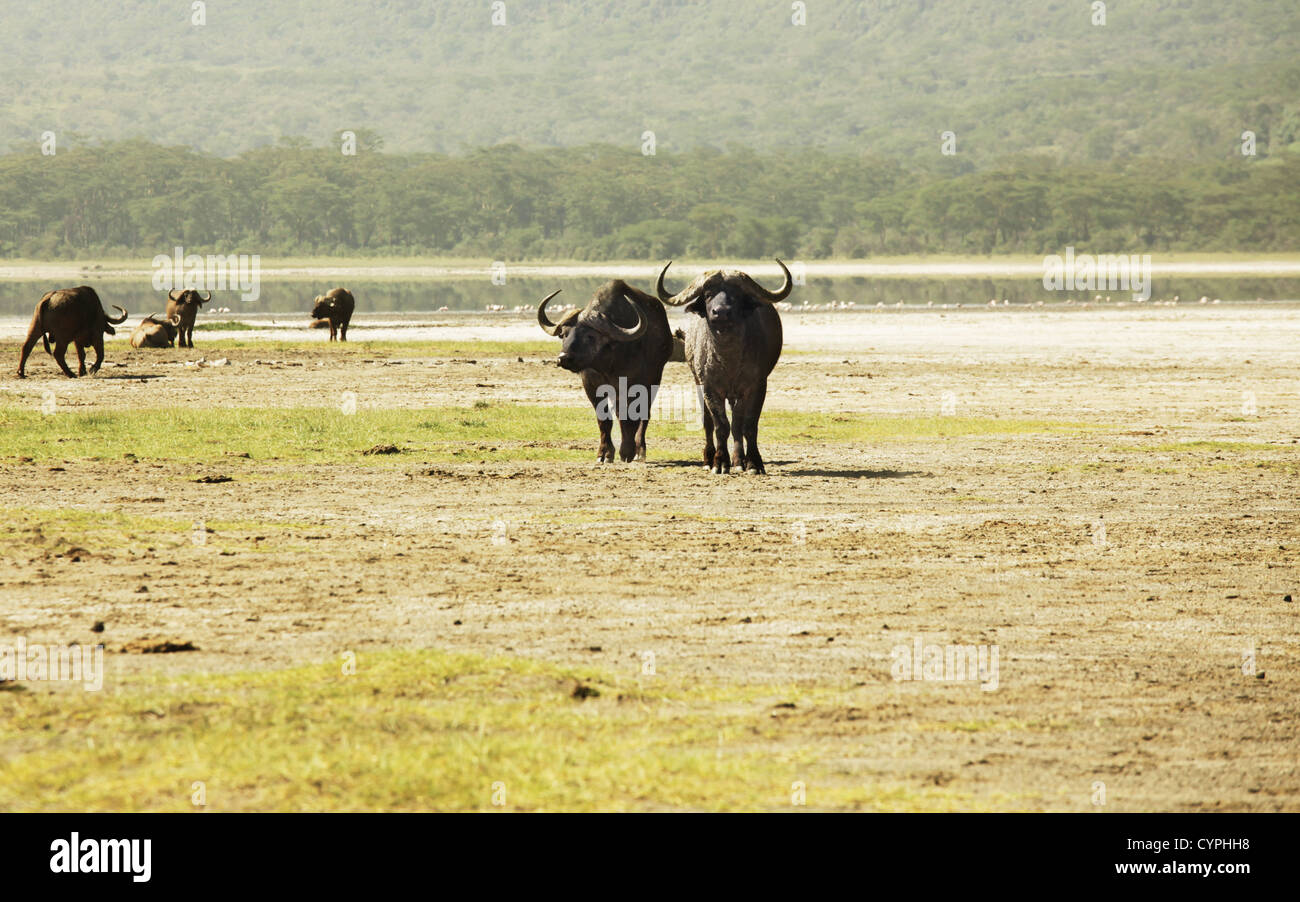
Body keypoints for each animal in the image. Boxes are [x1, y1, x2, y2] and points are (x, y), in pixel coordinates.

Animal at [537, 281, 673, 463]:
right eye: (564, 334)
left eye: (590, 336)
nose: (563, 358)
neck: (607, 364)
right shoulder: (591, 385)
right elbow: (604, 419)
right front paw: (604, 453)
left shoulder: (632, 384)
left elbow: (629, 416)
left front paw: (627, 451)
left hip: (655, 379)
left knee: (644, 414)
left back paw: (640, 450)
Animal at [656, 260, 790, 474]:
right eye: (708, 294)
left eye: (735, 294)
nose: (720, 312)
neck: (728, 358)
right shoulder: (709, 387)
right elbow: (720, 425)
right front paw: (719, 463)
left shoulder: (757, 386)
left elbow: (747, 425)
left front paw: (753, 463)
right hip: (699, 385)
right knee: (708, 422)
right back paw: (708, 458)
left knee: (737, 423)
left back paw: (739, 460)